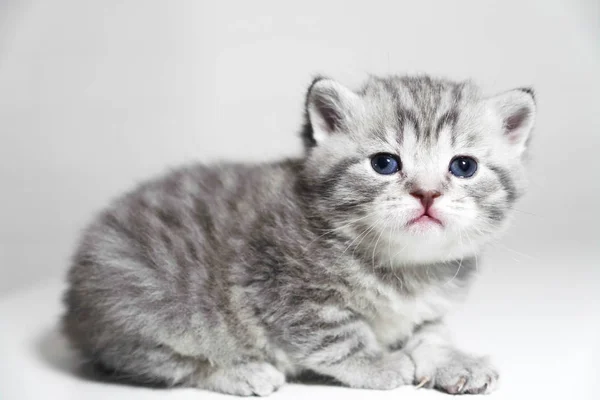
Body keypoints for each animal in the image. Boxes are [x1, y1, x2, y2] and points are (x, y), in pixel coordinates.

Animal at [63, 73, 536, 396]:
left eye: (463, 166)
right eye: (384, 163)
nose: (427, 193)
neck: (404, 267)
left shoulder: (428, 306)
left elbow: (431, 333)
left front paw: (454, 361)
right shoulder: (288, 291)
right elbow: (337, 336)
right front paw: (380, 364)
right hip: (147, 310)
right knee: (166, 363)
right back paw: (242, 371)